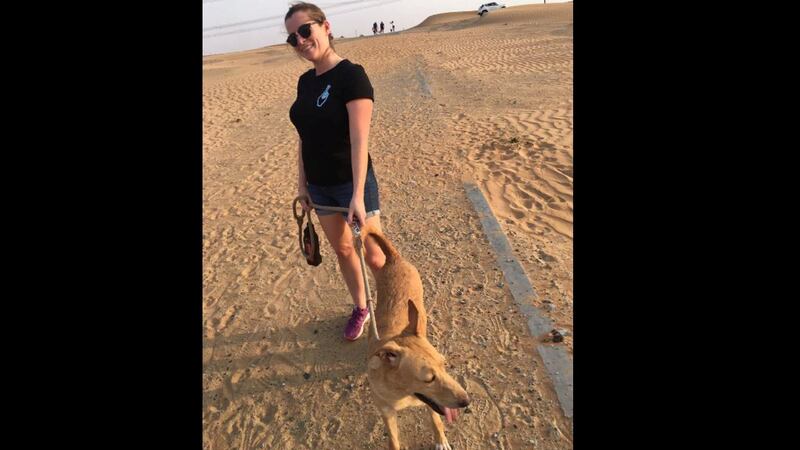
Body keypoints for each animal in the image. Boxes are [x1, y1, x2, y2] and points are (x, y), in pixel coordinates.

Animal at [360, 227, 468, 450]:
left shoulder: (432, 404)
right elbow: (393, 440)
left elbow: (436, 420)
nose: (466, 401)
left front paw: (441, 441)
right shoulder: (387, 413)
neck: (403, 393)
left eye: (444, 365)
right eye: (429, 379)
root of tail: (395, 259)